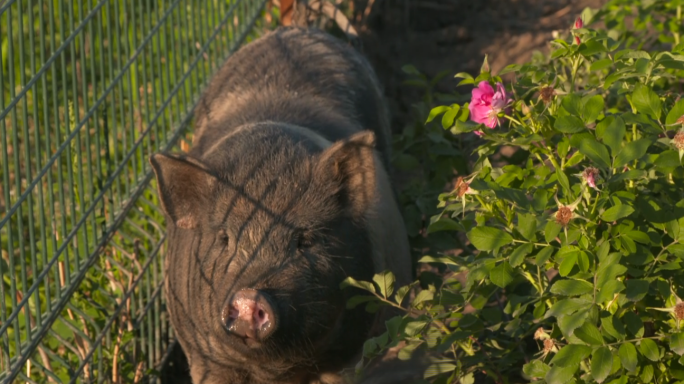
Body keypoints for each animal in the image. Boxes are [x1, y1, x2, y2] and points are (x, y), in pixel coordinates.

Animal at [150, 27, 412, 384]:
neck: (274, 371)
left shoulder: (349, 353)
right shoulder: (203, 356)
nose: (250, 297)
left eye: (305, 240)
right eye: (223, 239)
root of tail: (296, 31)